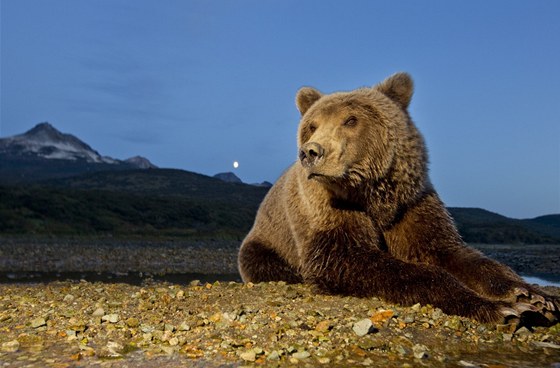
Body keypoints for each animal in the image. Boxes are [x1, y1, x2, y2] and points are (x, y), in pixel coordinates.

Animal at [238, 72, 556, 324]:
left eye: (350, 120)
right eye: (312, 125)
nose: (311, 152)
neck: (371, 194)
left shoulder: (410, 205)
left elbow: (452, 252)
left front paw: (533, 296)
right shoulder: (329, 211)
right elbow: (350, 259)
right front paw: (500, 309)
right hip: (267, 241)